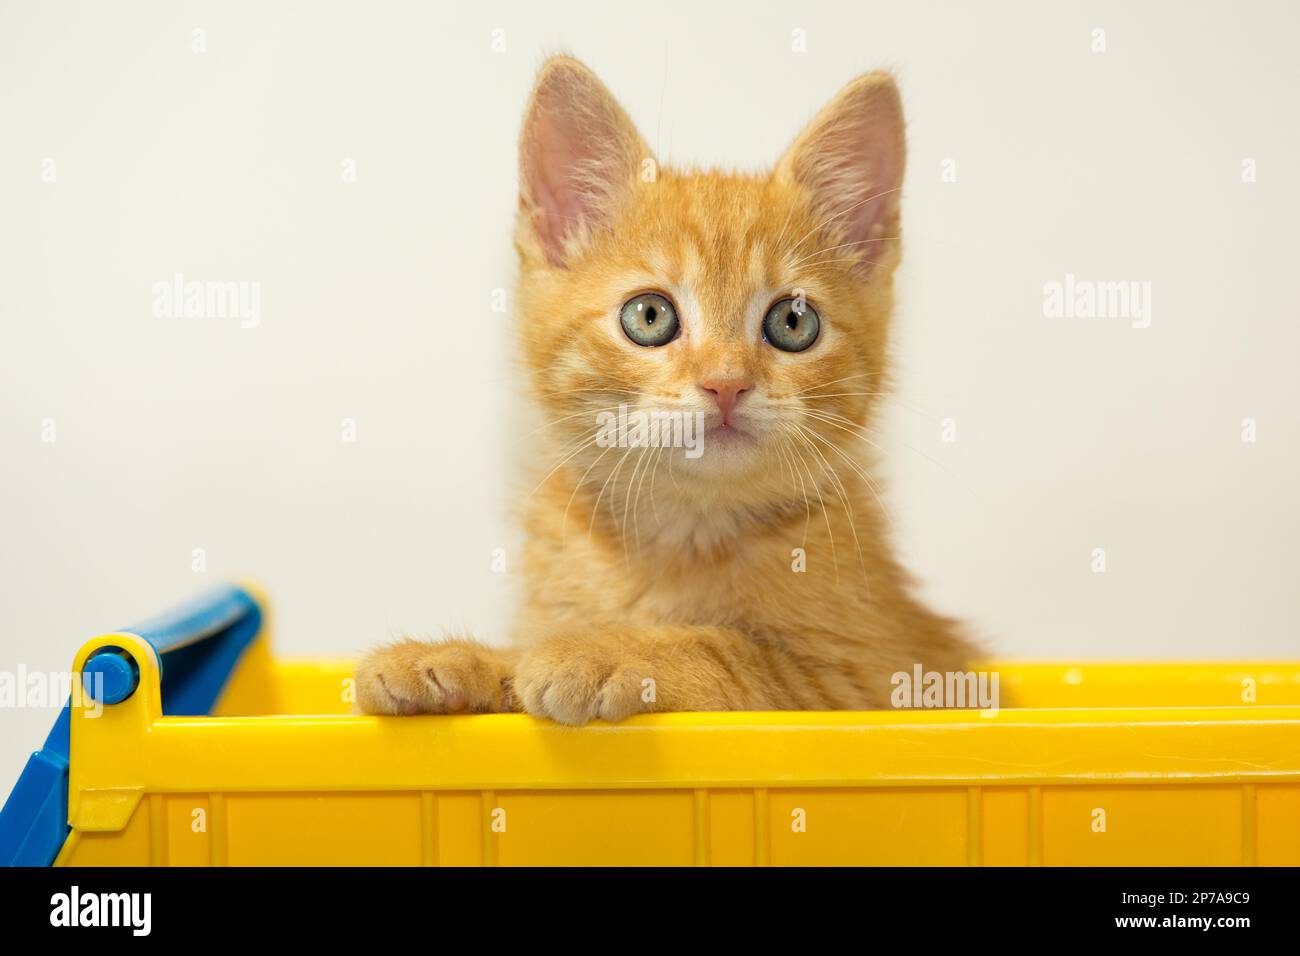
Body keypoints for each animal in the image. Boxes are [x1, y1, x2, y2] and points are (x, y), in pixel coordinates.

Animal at [356, 54, 977, 723]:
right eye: (649, 316)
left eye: (794, 322)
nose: (726, 384)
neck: (682, 536)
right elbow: (520, 656)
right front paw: (451, 661)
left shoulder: (881, 681)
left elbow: (727, 649)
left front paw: (600, 651)